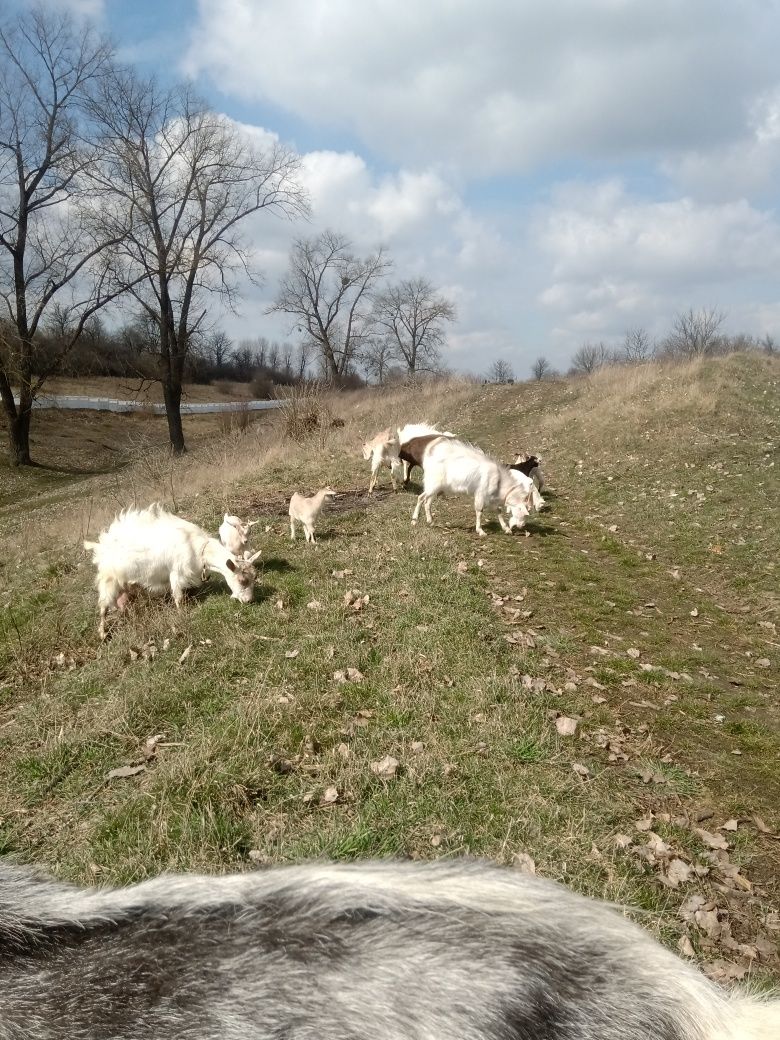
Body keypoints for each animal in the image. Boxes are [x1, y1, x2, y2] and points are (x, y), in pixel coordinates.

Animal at [84, 505, 263, 640]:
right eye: (242, 580)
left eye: (254, 578)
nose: (249, 601)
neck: (197, 548)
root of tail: (101, 545)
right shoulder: (176, 572)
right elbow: (178, 597)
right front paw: (181, 615)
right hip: (109, 580)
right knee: (103, 607)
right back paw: (103, 634)